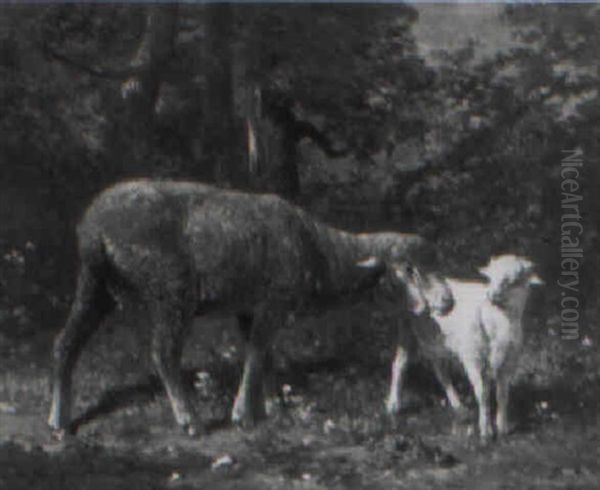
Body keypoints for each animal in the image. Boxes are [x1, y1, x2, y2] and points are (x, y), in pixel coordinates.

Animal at [386, 255, 548, 438]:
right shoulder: (473, 359)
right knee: (399, 364)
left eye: (513, 280)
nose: (491, 295)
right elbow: (483, 394)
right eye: (490, 277)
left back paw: (457, 404)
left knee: (441, 371)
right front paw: (485, 430)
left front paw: (502, 427)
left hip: (437, 341)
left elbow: (502, 394)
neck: (497, 320)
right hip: (407, 328)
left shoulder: (507, 362)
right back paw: (394, 404)